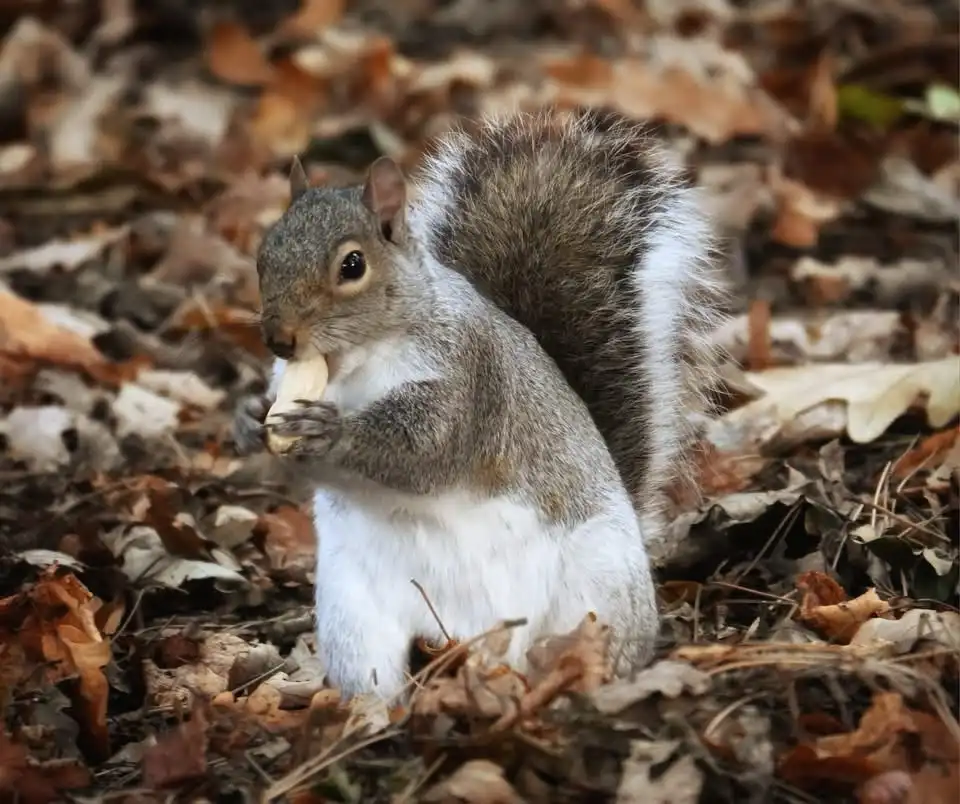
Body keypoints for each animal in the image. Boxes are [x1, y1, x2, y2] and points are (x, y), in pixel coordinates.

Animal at [233, 109, 726, 700]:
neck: (356, 364)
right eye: (264, 255)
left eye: (352, 265)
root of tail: (470, 638)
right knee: (376, 679)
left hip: (597, 588)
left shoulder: (469, 380)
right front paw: (250, 419)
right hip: (353, 617)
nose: (279, 339)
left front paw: (329, 432)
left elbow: (423, 448)